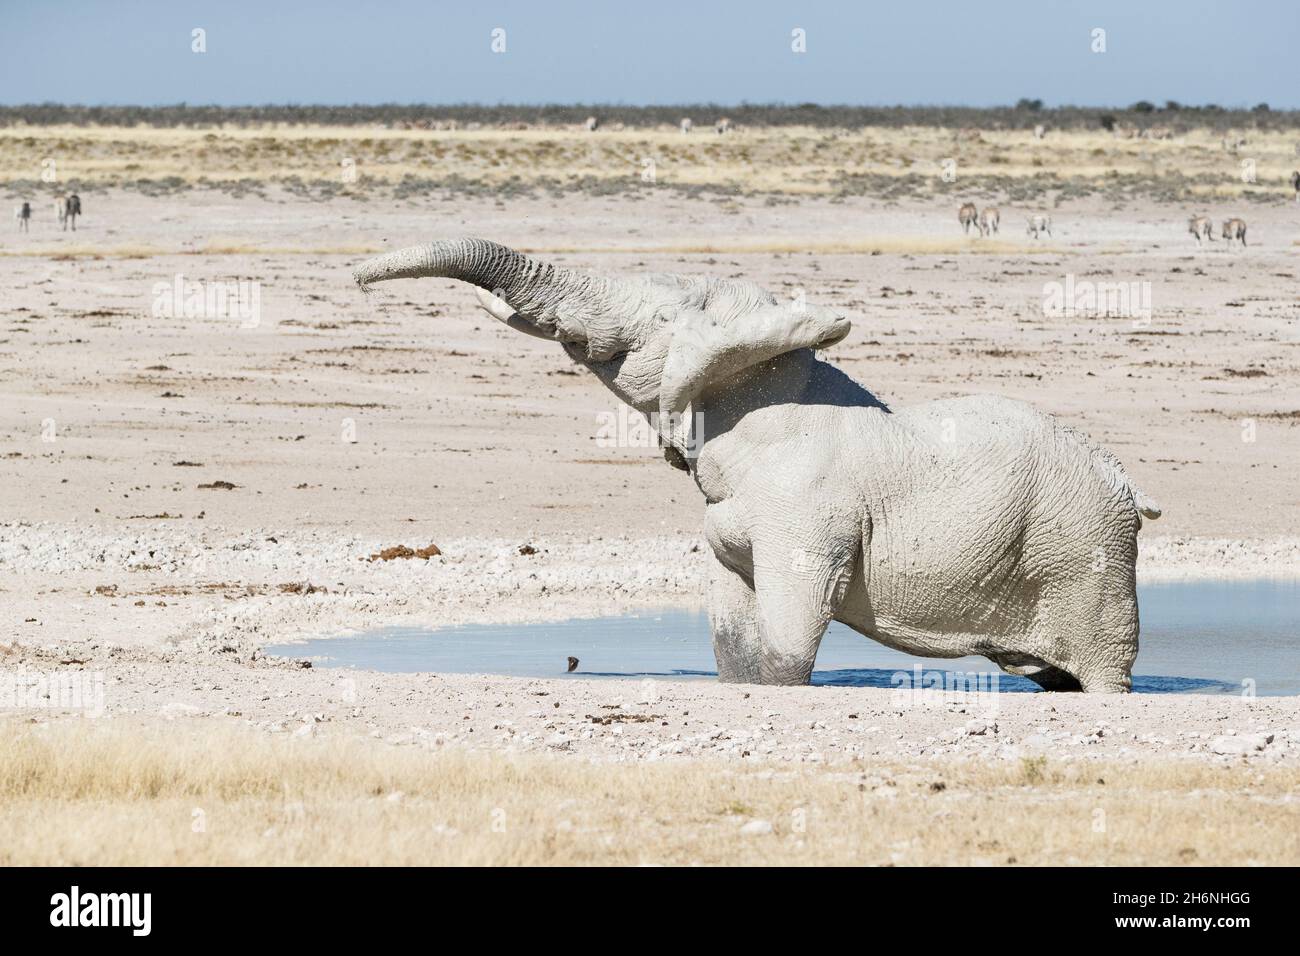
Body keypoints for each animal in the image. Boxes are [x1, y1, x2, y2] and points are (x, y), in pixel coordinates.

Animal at [353, 236, 1159, 691]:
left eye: (662, 319)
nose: (356, 280)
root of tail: (1131, 488)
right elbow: (732, 630)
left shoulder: (808, 514)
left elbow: (789, 632)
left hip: (1086, 550)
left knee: (1101, 670)